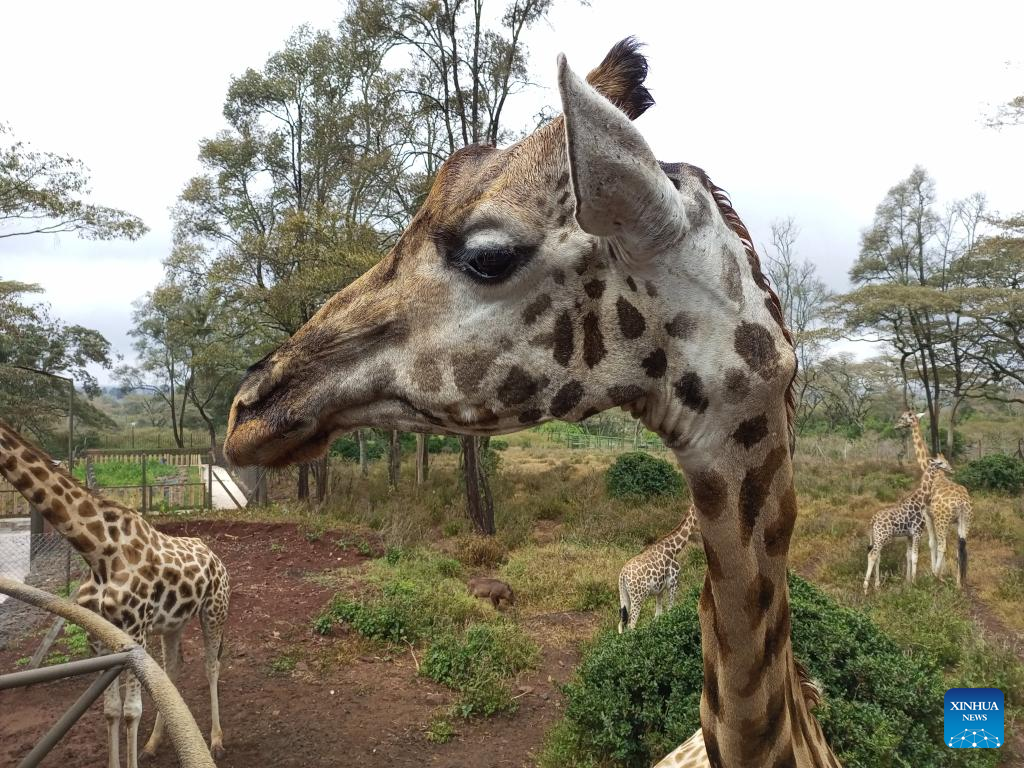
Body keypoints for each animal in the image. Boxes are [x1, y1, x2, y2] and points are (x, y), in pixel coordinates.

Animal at [0, 419, 230, 768]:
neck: (97, 551)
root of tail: (216, 558)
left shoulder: (135, 632)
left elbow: (132, 711)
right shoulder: (99, 635)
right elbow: (111, 711)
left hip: (214, 611)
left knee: (211, 666)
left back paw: (216, 740)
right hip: (172, 624)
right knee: (172, 671)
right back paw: (153, 743)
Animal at [863, 456, 952, 594]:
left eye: (946, 461)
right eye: (940, 462)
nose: (951, 469)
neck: (920, 500)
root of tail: (872, 520)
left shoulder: (909, 535)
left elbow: (908, 556)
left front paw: (908, 581)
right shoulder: (917, 532)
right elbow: (915, 556)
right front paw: (915, 583)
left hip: (878, 538)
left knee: (877, 556)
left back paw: (877, 585)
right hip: (882, 536)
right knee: (872, 555)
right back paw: (866, 588)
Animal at [895, 410, 973, 586]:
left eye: (903, 417)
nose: (895, 425)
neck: (928, 468)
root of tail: (963, 503)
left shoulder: (927, 515)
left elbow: (932, 543)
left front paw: (935, 571)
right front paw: (943, 571)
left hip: (942, 520)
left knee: (943, 546)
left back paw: (936, 575)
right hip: (965, 521)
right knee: (961, 546)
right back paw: (959, 583)